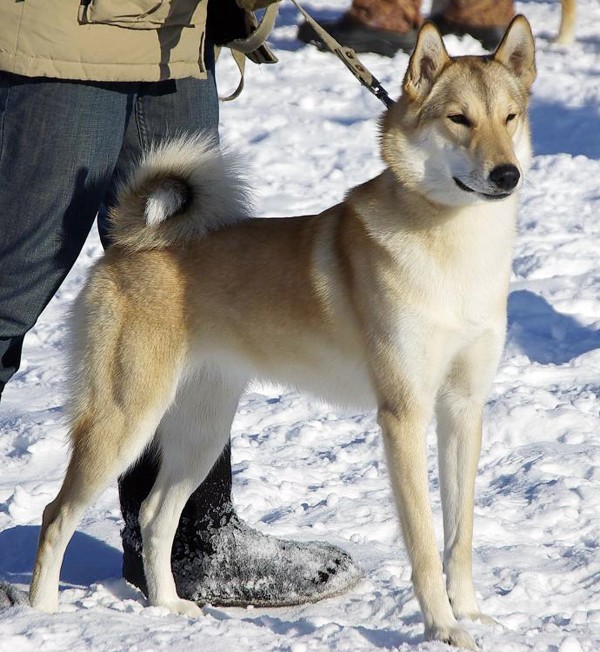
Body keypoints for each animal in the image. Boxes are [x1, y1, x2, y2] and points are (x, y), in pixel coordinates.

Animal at [29, 16, 535, 649]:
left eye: (509, 116)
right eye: (459, 118)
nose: (507, 174)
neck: (456, 248)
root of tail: (129, 244)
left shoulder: (464, 409)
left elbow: (459, 535)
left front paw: (469, 615)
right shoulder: (404, 414)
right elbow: (423, 542)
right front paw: (442, 627)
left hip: (203, 430)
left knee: (154, 516)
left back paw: (168, 606)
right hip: (126, 418)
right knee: (56, 516)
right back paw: (41, 617)